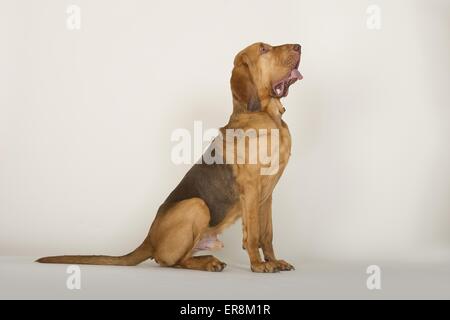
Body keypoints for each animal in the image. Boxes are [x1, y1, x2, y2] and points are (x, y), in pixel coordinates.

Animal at [37, 42, 302, 272]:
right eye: (264, 49)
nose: (299, 46)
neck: (270, 117)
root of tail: (149, 239)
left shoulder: (267, 195)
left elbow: (267, 234)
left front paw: (274, 261)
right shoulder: (252, 190)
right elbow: (254, 235)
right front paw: (258, 265)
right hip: (196, 205)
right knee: (171, 261)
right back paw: (208, 263)